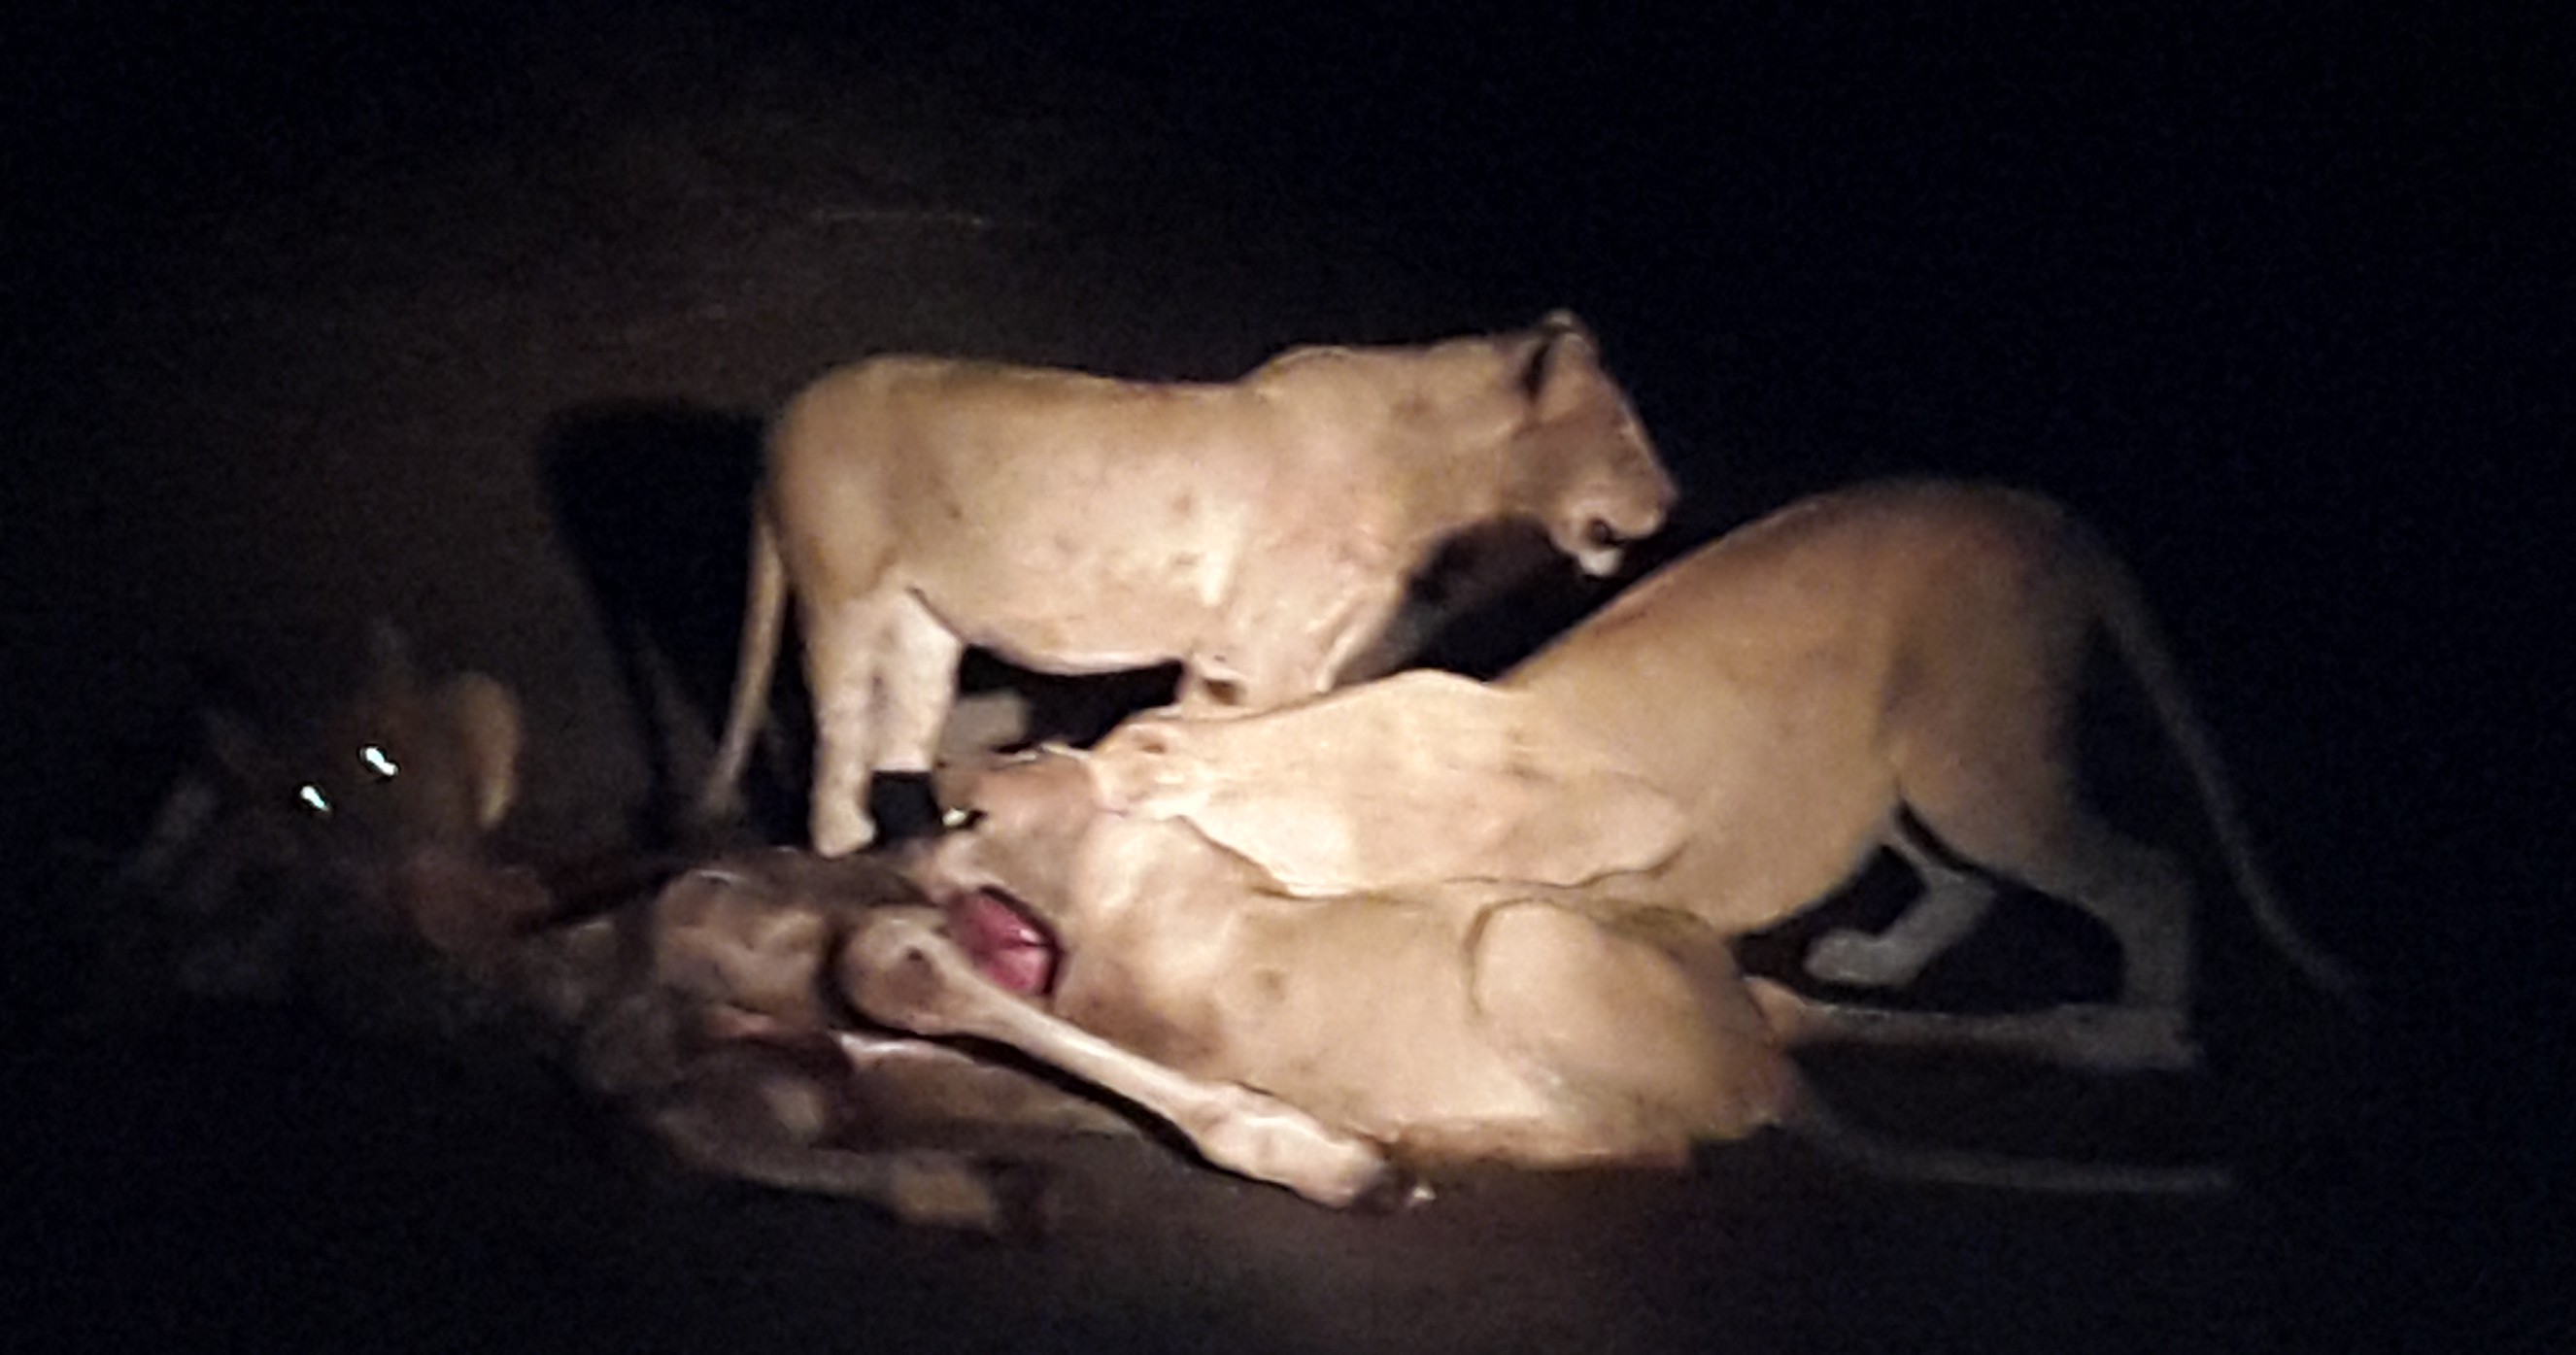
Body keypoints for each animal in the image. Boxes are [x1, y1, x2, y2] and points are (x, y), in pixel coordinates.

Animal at [695, 311, 1677, 855]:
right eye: (1626, 435)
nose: (1672, 501)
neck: (1433, 481)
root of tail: (780, 421)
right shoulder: (1269, 651)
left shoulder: (1262, 658)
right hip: (844, 596)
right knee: (839, 736)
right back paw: (841, 848)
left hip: (925, 622)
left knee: (903, 727)